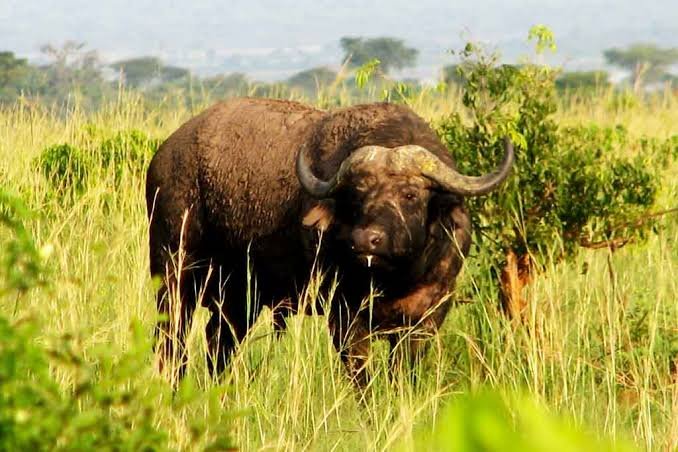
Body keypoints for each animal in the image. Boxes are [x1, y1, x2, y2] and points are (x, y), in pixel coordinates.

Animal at [145, 97, 513, 383]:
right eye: (357, 195)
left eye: (410, 194)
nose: (365, 240)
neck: (395, 279)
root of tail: (163, 157)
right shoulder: (344, 317)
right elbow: (362, 378)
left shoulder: (429, 315)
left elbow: (402, 375)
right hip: (173, 276)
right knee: (172, 343)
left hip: (240, 297)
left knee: (217, 342)